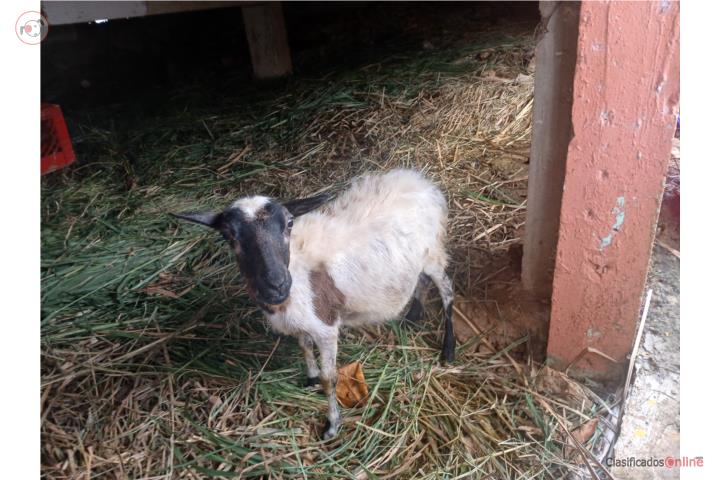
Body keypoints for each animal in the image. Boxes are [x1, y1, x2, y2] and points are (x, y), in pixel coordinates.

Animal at [174, 168, 455, 439]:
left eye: (289, 223)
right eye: (229, 234)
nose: (276, 285)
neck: (296, 272)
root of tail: (421, 182)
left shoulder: (326, 328)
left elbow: (329, 378)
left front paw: (332, 425)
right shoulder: (302, 323)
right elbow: (303, 346)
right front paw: (309, 380)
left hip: (433, 253)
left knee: (447, 290)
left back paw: (448, 349)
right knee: (421, 280)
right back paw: (413, 316)